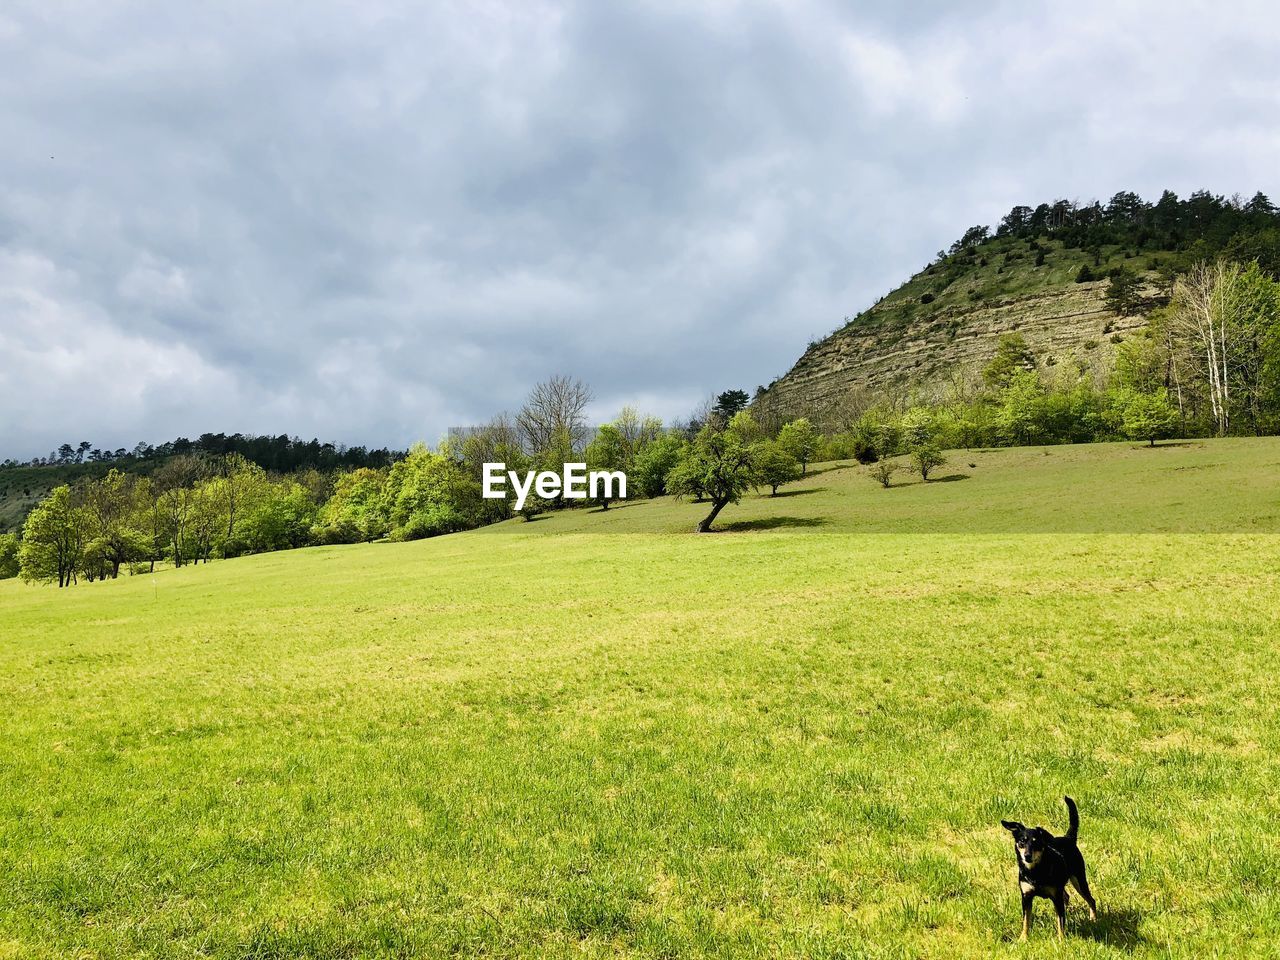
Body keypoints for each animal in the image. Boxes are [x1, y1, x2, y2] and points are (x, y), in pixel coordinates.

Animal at [1003, 798, 1095, 942]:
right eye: (1022, 842)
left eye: (1036, 842)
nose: (1027, 855)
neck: (1035, 872)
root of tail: (1068, 838)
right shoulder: (1026, 897)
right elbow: (1026, 920)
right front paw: (1023, 938)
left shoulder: (1056, 896)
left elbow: (1060, 921)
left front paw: (1061, 940)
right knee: (1066, 897)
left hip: (1079, 880)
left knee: (1091, 900)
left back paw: (1093, 919)